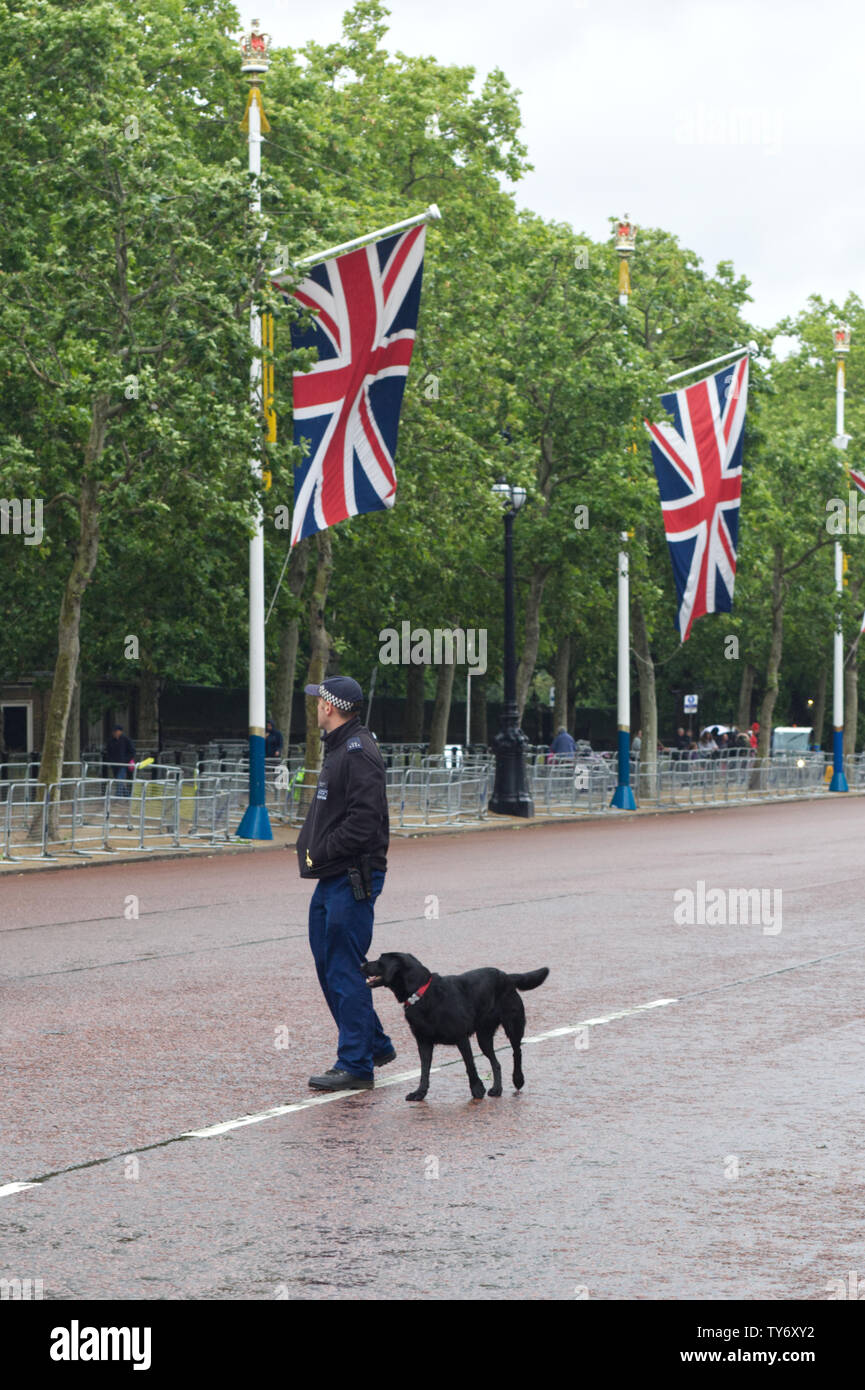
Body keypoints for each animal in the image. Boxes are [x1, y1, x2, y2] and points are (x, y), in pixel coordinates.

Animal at [364, 950, 553, 1100]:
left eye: (379, 961)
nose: (361, 964)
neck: (421, 993)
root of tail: (507, 976)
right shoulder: (424, 1042)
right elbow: (424, 1070)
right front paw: (420, 1093)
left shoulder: (461, 1038)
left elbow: (469, 1065)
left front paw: (477, 1089)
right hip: (484, 1037)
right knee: (496, 1062)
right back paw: (497, 1089)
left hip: (513, 1025)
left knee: (517, 1052)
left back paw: (518, 1079)